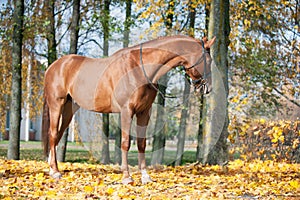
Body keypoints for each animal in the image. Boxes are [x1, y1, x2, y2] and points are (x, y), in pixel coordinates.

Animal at [42, 34, 216, 184]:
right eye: (208, 60)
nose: (207, 88)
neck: (139, 68)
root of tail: (54, 66)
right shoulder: (127, 111)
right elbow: (125, 143)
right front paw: (127, 177)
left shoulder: (144, 112)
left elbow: (141, 143)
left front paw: (145, 176)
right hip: (57, 105)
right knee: (53, 134)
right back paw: (55, 171)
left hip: (69, 109)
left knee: (57, 135)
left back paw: (51, 169)